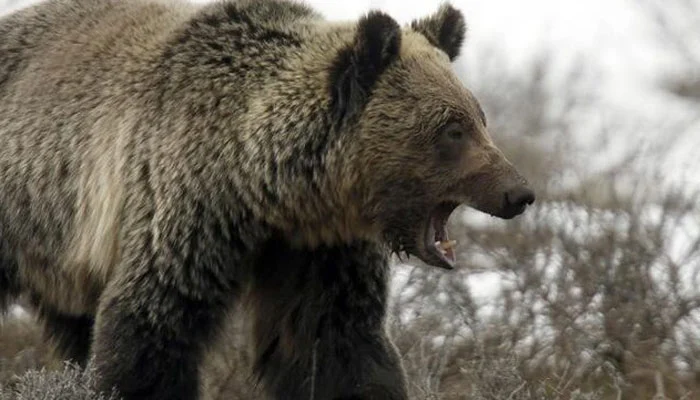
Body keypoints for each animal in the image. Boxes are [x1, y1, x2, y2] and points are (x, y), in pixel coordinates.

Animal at [0, 0, 535, 399]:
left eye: (479, 117)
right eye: (452, 130)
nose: (519, 192)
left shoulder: (318, 250)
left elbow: (335, 343)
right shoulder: (184, 212)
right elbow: (149, 329)